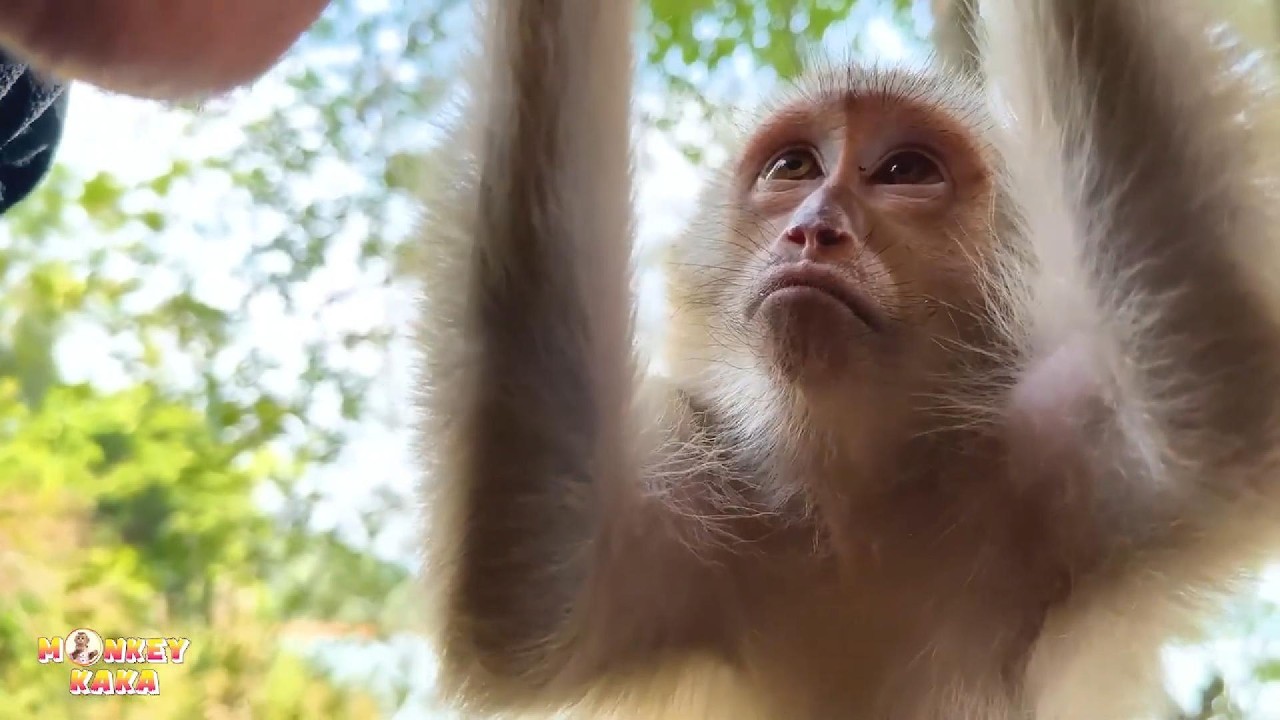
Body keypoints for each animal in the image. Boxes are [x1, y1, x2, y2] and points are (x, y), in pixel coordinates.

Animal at [415, 0, 1280, 717]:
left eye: (905, 171)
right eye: (794, 166)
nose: (813, 228)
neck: (860, 502)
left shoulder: (1064, 457)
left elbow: (1228, 399)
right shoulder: (696, 506)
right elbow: (524, 582)